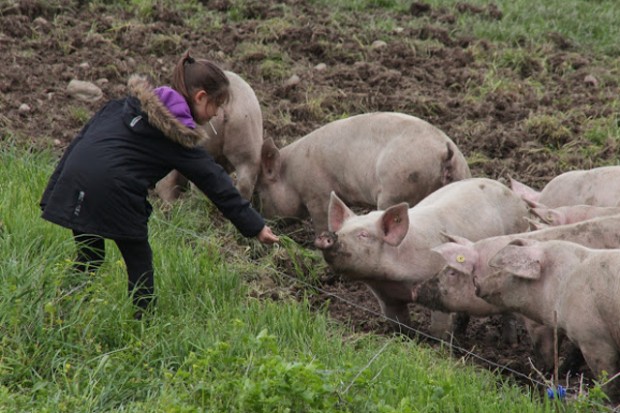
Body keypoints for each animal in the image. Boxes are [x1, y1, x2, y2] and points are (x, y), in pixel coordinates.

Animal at [253, 112, 470, 233]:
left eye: (258, 192)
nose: (265, 222)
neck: (290, 175)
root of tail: (446, 153)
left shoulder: (316, 194)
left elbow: (322, 221)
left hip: (397, 189)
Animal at [314, 175, 528, 336]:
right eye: (341, 230)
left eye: (363, 235)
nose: (329, 236)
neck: (394, 279)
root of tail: (507, 189)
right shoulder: (386, 297)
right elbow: (399, 323)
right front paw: (406, 338)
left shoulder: (440, 288)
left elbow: (439, 328)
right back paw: (460, 334)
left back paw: (508, 342)